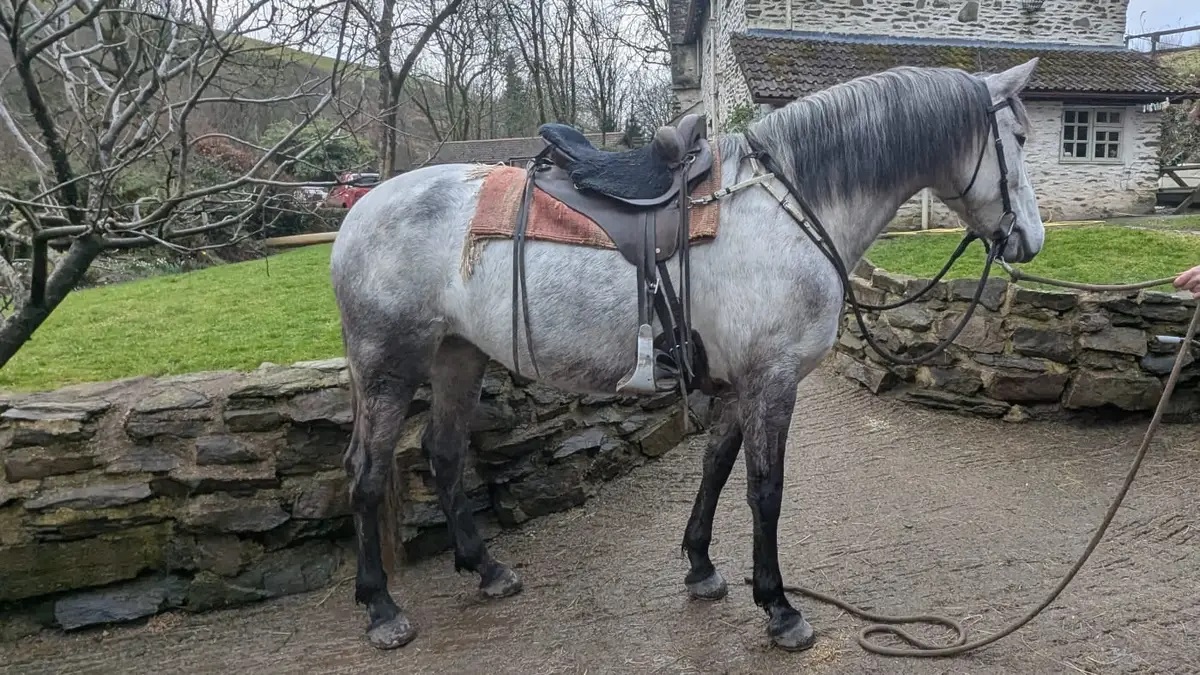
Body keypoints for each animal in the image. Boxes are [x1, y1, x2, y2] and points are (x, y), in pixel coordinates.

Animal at [328, 57, 1046, 652]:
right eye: (1018, 138)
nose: (1030, 241)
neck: (791, 206)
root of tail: (360, 211)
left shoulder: (735, 382)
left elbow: (716, 468)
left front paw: (701, 567)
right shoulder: (772, 379)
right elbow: (765, 489)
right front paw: (780, 608)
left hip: (458, 354)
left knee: (445, 453)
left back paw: (487, 568)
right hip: (389, 364)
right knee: (367, 471)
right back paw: (382, 607)